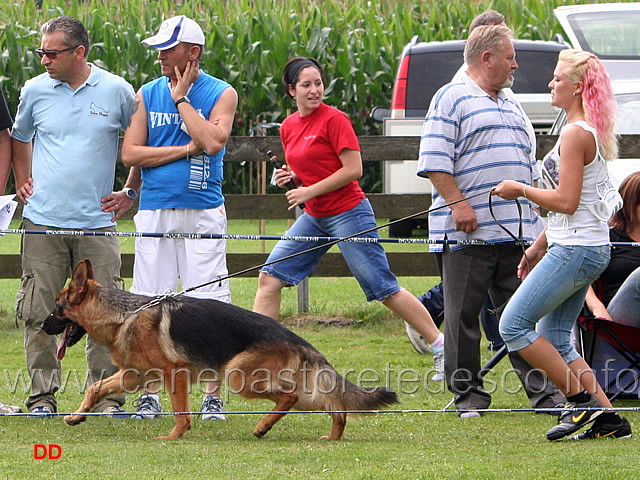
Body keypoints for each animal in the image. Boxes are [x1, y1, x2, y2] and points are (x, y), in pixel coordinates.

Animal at [42, 260, 398, 440]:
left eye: (57, 308)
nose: (41, 326)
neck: (122, 314)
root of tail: (295, 337)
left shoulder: (174, 374)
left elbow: (181, 411)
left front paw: (174, 437)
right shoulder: (134, 377)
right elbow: (95, 388)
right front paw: (76, 416)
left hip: (239, 376)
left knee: (290, 397)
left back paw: (262, 426)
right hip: (284, 383)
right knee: (333, 406)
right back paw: (332, 436)